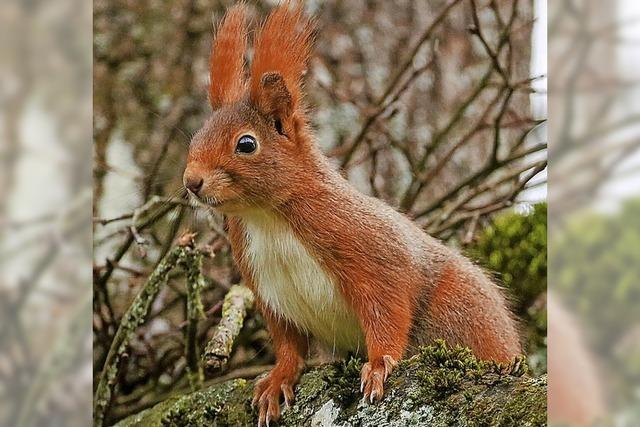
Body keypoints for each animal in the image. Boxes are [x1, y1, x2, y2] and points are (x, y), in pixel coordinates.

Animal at [182, 2, 524, 424]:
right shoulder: (269, 292)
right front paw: (278, 379)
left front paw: (379, 365)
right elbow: (289, 344)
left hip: (460, 310)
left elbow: (387, 310)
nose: (191, 181)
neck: (269, 219)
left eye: (246, 144)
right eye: (197, 137)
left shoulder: (370, 251)